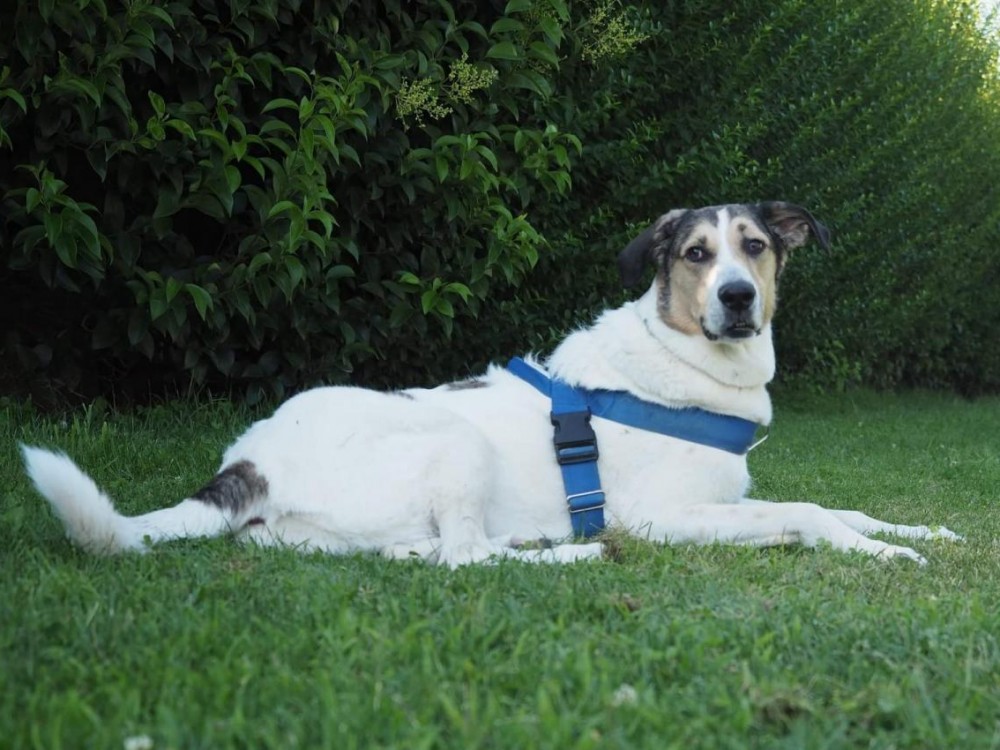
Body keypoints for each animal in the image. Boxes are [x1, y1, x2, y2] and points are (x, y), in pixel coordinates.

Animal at [22, 202, 961, 566]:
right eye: (697, 254)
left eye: (755, 247)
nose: (737, 298)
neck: (688, 365)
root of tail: (246, 460)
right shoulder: (665, 515)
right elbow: (807, 513)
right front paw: (883, 552)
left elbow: (838, 504)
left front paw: (919, 530)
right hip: (454, 437)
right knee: (465, 558)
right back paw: (574, 554)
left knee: (430, 554)